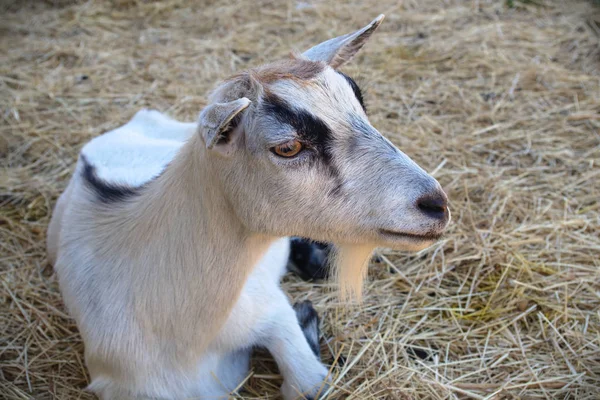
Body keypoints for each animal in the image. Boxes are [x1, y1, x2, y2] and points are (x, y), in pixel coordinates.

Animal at [48, 15, 450, 400]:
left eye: (361, 108)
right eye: (287, 147)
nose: (436, 205)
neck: (188, 336)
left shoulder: (269, 310)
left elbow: (309, 384)